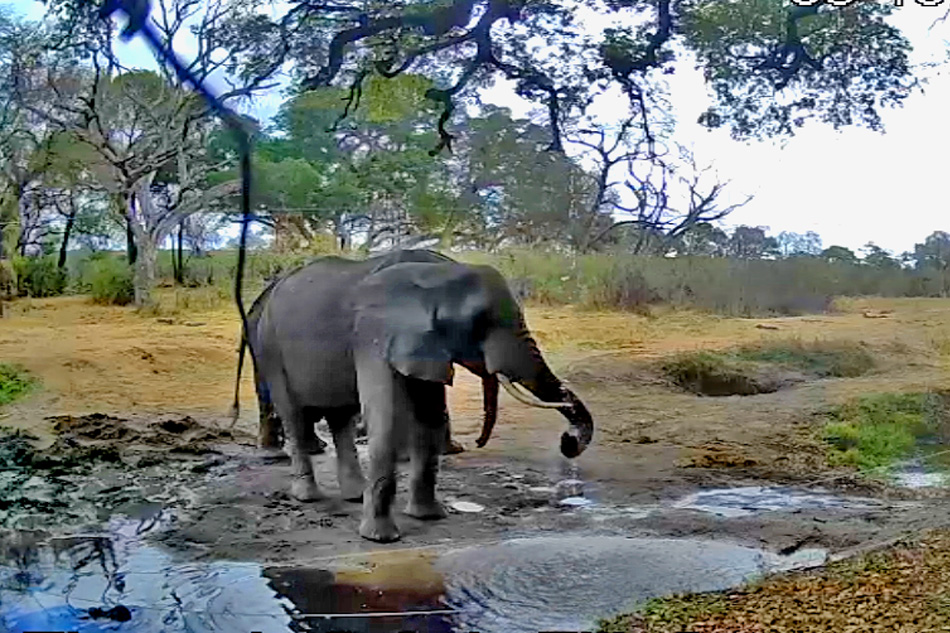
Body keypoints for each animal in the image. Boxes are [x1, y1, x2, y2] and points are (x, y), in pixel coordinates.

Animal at [253, 254, 596, 540]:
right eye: (479, 322)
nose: (568, 442)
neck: (435, 280)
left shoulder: (426, 347)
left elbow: (430, 417)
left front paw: (428, 517)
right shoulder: (374, 337)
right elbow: (386, 418)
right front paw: (381, 539)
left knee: (340, 416)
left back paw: (354, 494)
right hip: (270, 347)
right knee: (293, 415)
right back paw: (308, 496)